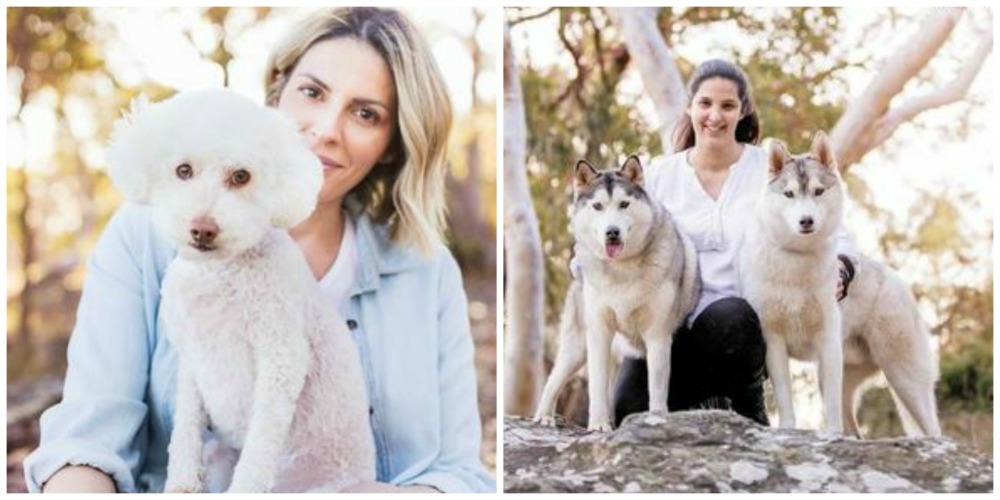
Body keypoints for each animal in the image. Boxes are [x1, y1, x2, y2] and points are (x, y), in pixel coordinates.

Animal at [532, 155, 704, 430]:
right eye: (598, 206)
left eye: (624, 204)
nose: (612, 232)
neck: (621, 270)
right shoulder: (599, 332)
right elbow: (597, 386)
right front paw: (598, 425)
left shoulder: (658, 336)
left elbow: (657, 387)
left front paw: (656, 418)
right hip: (577, 348)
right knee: (554, 380)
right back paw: (544, 416)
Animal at [744, 133, 844, 434]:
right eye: (789, 194)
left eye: (818, 191)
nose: (806, 220)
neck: (797, 260)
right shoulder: (773, 339)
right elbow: (785, 397)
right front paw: (787, 430)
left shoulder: (829, 340)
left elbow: (832, 402)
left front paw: (835, 434)